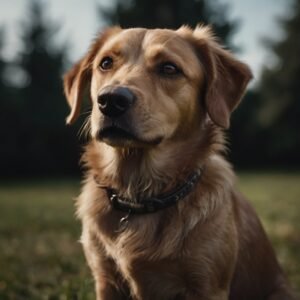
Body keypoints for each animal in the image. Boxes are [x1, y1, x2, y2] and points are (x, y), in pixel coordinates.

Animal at [63, 25, 296, 300]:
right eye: (106, 63)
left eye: (169, 68)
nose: (110, 100)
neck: (140, 194)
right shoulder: (105, 279)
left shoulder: (207, 285)